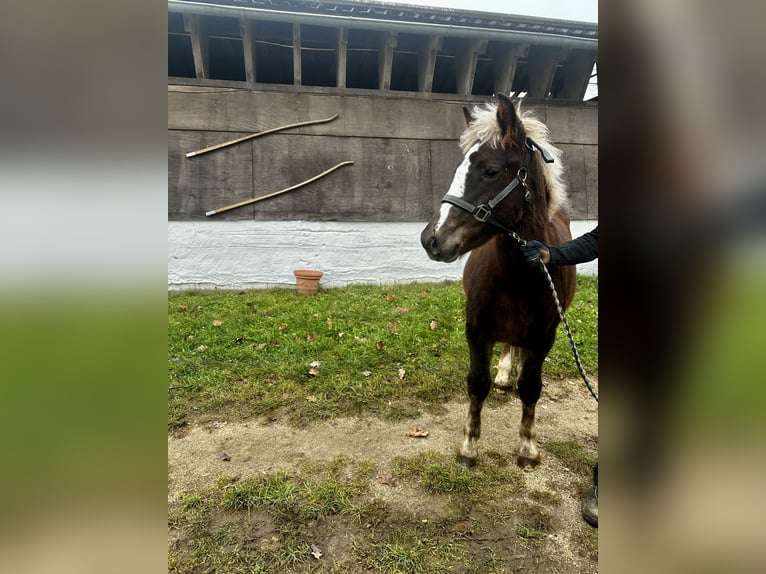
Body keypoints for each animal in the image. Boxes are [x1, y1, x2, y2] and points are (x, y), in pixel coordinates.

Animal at [420, 94, 576, 470]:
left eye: (491, 171)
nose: (432, 239)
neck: (518, 276)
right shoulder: (477, 329)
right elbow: (478, 384)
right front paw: (468, 447)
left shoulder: (544, 337)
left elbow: (531, 387)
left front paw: (528, 448)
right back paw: (505, 373)